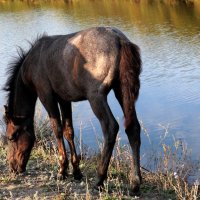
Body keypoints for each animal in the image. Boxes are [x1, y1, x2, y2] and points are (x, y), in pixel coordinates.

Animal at [3, 26, 141, 194]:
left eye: (11, 137)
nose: (13, 167)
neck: (31, 63)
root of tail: (120, 40)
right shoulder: (64, 99)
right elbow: (68, 131)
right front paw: (76, 171)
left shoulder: (47, 96)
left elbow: (57, 129)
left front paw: (62, 170)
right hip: (121, 91)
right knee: (133, 128)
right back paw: (135, 183)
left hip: (96, 97)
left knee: (110, 127)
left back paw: (99, 180)